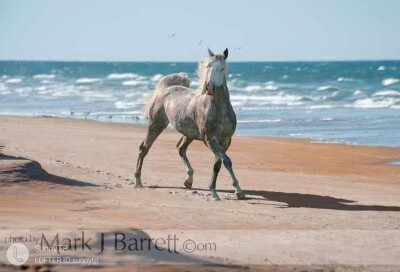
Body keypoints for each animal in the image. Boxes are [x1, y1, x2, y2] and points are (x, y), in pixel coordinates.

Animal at [134, 47, 245, 200]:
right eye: (208, 66)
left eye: (222, 68)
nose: (209, 88)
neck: (218, 110)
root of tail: (165, 89)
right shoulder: (210, 140)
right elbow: (226, 161)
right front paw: (234, 191)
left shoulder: (226, 141)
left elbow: (218, 164)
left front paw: (216, 190)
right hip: (156, 125)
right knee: (144, 148)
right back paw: (138, 181)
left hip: (189, 134)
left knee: (180, 149)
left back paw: (188, 180)